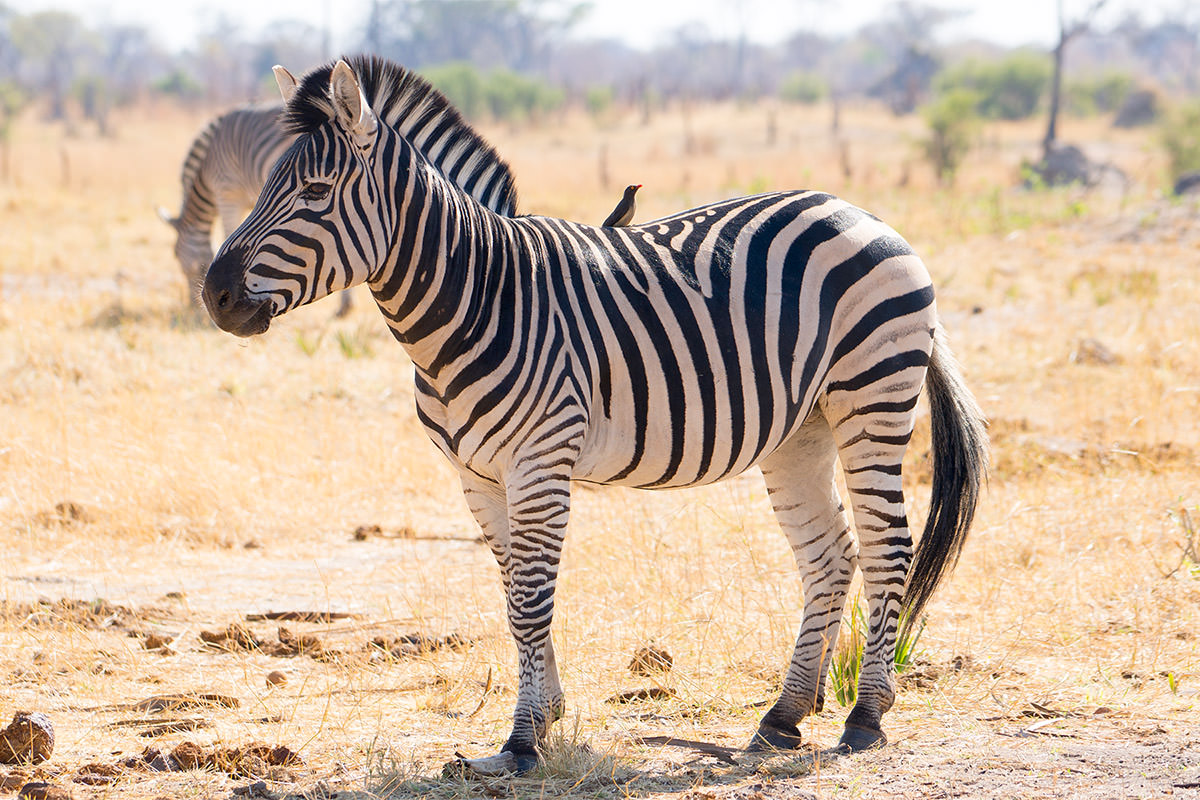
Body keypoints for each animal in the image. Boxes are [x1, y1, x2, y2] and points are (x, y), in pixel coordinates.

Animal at [199, 54, 984, 767]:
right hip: (802, 428)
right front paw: (545, 718)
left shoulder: (540, 461)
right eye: (265, 186)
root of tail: (855, 209)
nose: (215, 295)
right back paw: (783, 716)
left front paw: (520, 742)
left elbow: (530, 601)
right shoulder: (475, 476)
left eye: (314, 191)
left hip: (871, 398)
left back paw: (865, 717)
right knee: (830, 555)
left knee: (887, 549)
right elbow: (514, 591)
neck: (478, 299)